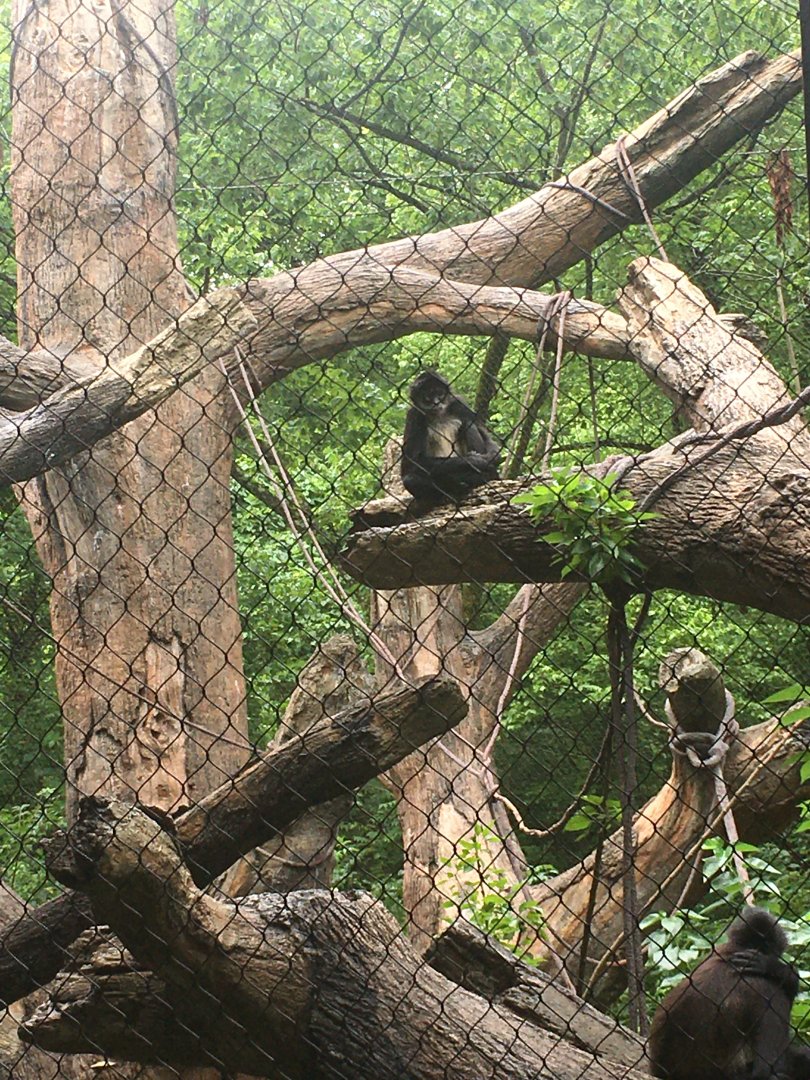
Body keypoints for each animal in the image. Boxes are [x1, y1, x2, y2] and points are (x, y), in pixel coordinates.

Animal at [401, 370, 500, 501]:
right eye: (427, 396)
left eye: (440, 393)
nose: (436, 403)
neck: (438, 415)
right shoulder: (414, 415)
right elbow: (412, 464)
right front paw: (475, 461)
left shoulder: (458, 403)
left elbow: (486, 437)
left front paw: (491, 457)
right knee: (410, 479)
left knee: (468, 422)